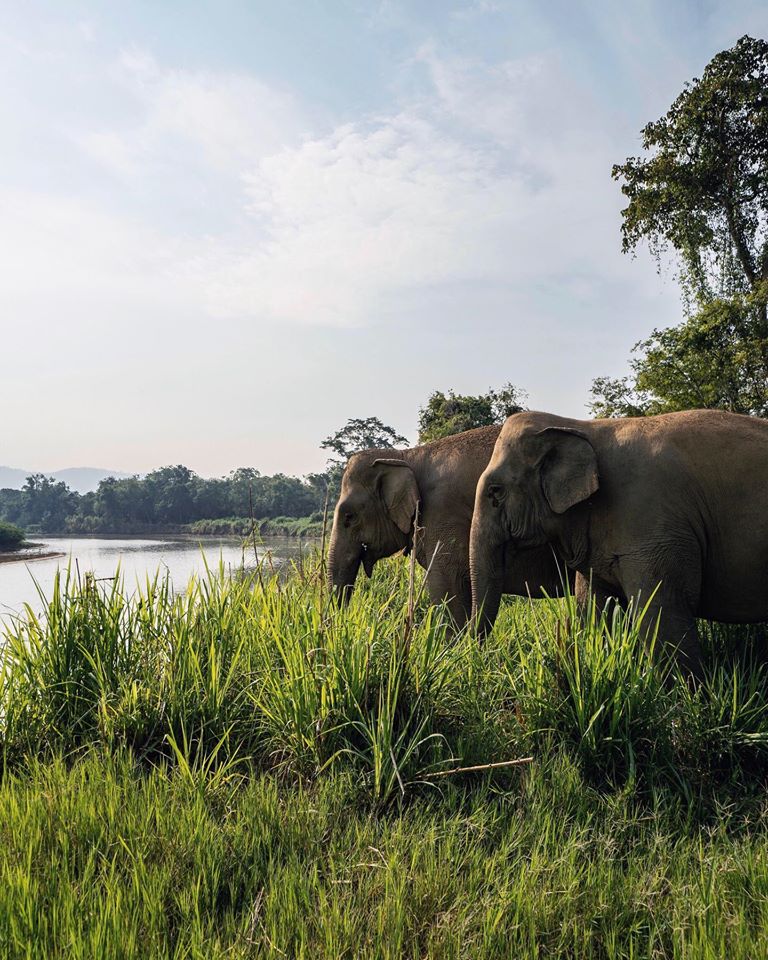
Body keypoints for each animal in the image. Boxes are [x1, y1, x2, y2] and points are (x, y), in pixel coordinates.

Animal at [472, 408, 768, 680]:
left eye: (495, 491)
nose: (483, 661)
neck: (580, 426)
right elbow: (594, 609)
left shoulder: (650, 522)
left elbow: (660, 611)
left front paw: (688, 698)